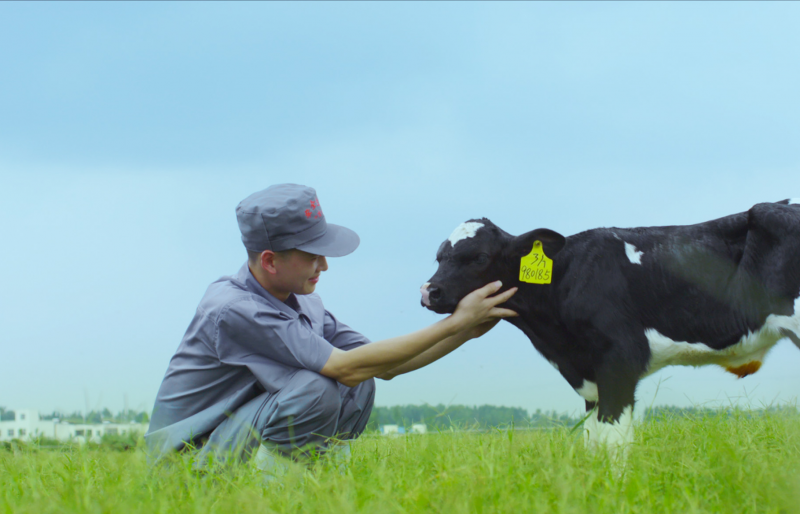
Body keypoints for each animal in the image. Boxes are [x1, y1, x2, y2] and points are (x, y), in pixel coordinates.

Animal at [418, 198, 800, 454]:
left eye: (479, 257)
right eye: (439, 256)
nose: (429, 292)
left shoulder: (620, 360)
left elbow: (614, 442)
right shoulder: (590, 375)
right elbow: (593, 442)